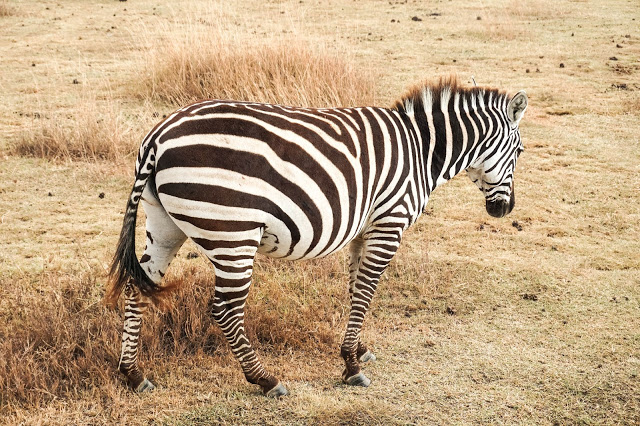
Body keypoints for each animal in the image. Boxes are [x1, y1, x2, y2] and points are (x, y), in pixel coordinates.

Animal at [106, 75, 528, 397]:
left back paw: (134, 374)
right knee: (224, 309)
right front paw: (352, 366)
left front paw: (358, 350)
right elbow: (365, 291)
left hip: (165, 224)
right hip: (232, 233)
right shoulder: (389, 223)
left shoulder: (364, 228)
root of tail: (159, 135)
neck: (421, 150)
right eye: (521, 151)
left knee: (137, 287)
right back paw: (265, 380)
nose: (504, 210)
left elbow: (356, 287)